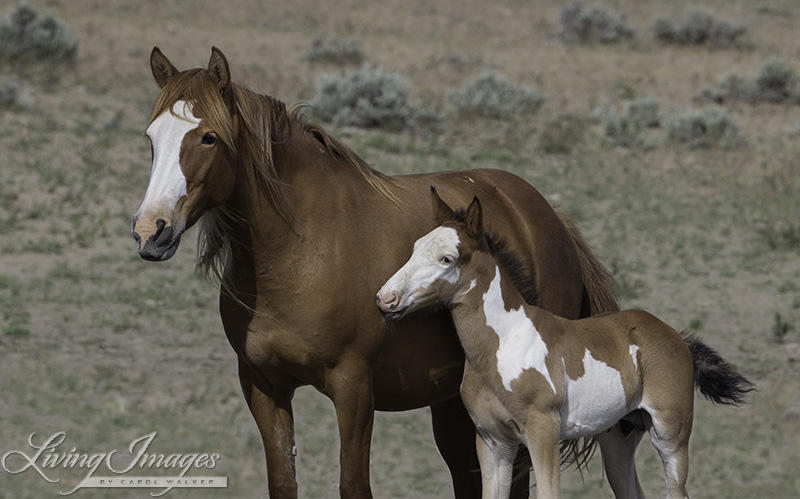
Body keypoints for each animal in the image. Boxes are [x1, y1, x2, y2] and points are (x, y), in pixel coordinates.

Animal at [376, 190, 752, 499]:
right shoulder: (493, 442)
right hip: (619, 438)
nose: (386, 298)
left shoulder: (542, 434)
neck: (503, 346)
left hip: (671, 436)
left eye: (446, 258)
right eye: (414, 249)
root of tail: (674, 335)